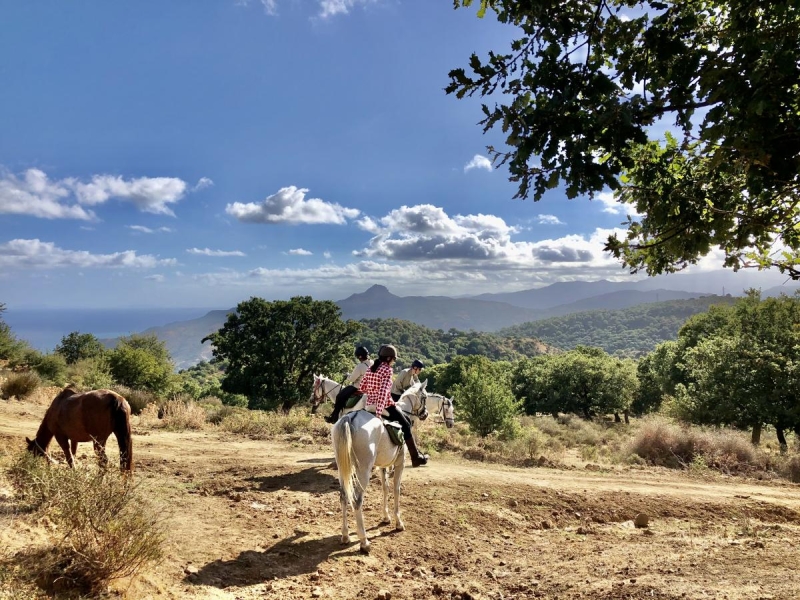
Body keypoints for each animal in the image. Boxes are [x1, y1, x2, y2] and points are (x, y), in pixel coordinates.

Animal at [330, 390, 428, 552]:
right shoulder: (400, 464)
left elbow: (385, 488)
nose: (425, 413)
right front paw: (398, 522)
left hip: (343, 468)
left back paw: (345, 536)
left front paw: (386, 517)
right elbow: (396, 490)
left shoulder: (383, 466)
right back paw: (364, 541)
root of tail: (350, 418)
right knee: (356, 500)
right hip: (363, 470)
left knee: (343, 496)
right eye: (425, 397)